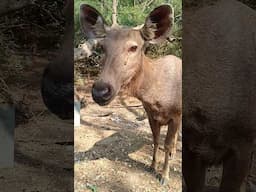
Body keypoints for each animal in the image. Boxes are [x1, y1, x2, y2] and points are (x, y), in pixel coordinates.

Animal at [80, 4, 182, 183]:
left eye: (133, 47)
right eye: (102, 47)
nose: (100, 91)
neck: (156, 97)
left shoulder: (175, 114)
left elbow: (167, 143)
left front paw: (164, 176)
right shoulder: (149, 113)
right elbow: (156, 140)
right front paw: (152, 166)